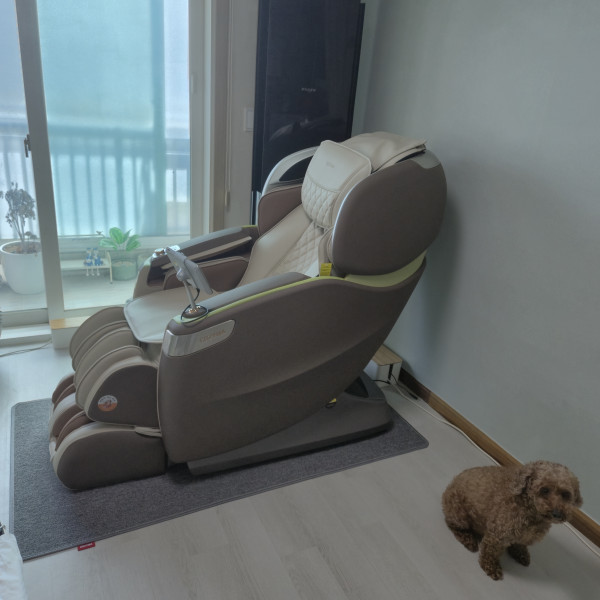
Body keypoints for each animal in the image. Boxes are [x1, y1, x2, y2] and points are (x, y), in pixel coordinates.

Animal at [442, 460, 582, 580]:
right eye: (544, 490)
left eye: (565, 494)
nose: (557, 513)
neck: (531, 512)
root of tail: (451, 484)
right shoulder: (498, 534)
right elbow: (491, 552)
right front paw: (491, 567)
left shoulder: (524, 537)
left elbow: (519, 544)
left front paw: (520, 553)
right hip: (459, 514)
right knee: (452, 524)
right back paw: (468, 539)